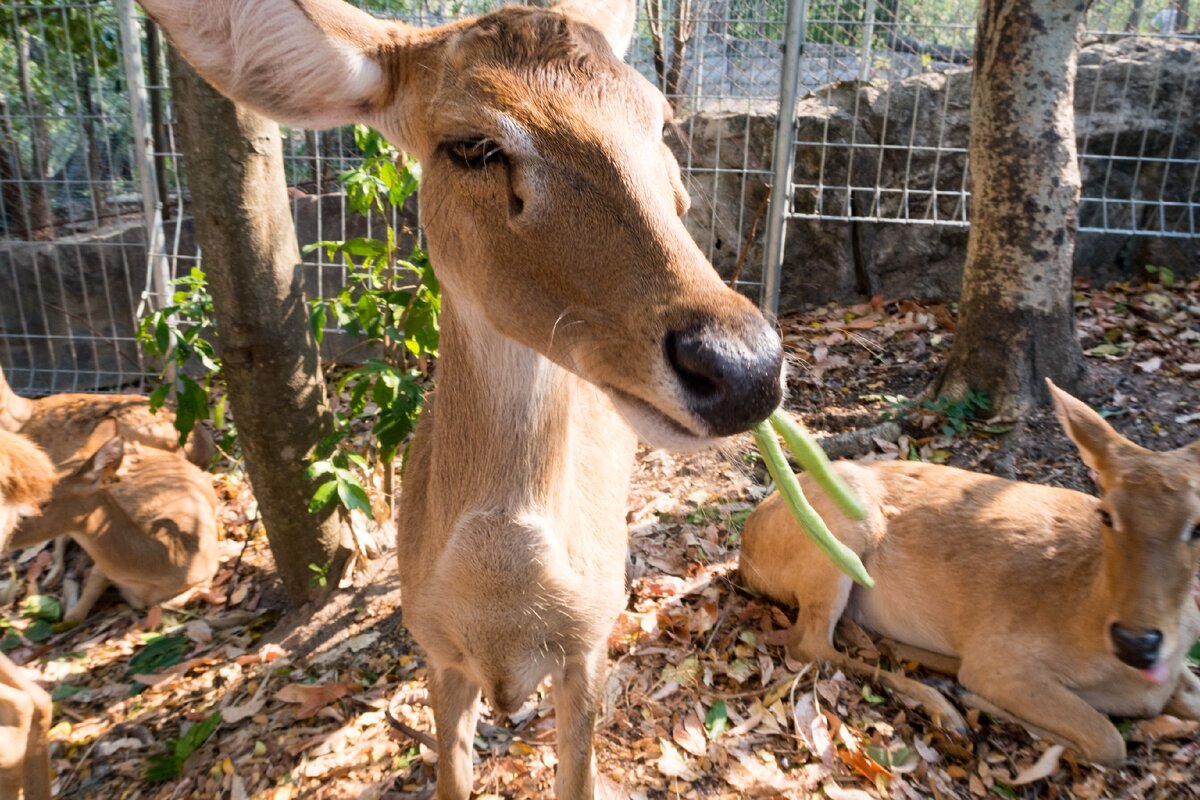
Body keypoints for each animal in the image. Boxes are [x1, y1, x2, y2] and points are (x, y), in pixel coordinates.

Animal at [8, 419, 220, 623]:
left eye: (42, 504)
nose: (7, 539)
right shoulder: (102, 570)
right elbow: (74, 615)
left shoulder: (209, 571)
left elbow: (168, 603)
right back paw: (51, 577)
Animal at [138, 0, 787, 796]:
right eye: (471, 145)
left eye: (657, 118)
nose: (742, 366)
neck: (500, 606)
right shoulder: (437, 651)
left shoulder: (590, 646)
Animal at [739, 381, 1200, 767]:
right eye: (1106, 514)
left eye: (1197, 525)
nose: (1137, 642)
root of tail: (746, 549)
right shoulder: (1003, 657)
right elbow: (1109, 741)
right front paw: (972, 698)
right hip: (841, 531)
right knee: (810, 644)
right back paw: (943, 703)